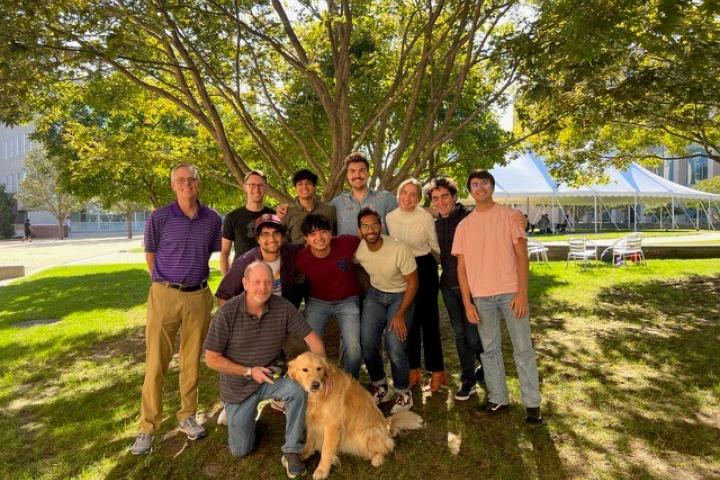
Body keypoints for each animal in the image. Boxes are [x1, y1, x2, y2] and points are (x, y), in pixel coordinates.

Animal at [286, 350, 422, 478]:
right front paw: (302, 455)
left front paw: (322, 470)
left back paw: (376, 459)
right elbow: (309, 441)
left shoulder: (332, 425)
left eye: (319, 368)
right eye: (305, 370)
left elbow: (326, 449)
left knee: (388, 447)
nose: (316, 384)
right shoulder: (312, 421)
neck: (318, 396)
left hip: (368, 433)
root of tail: (387, 426)